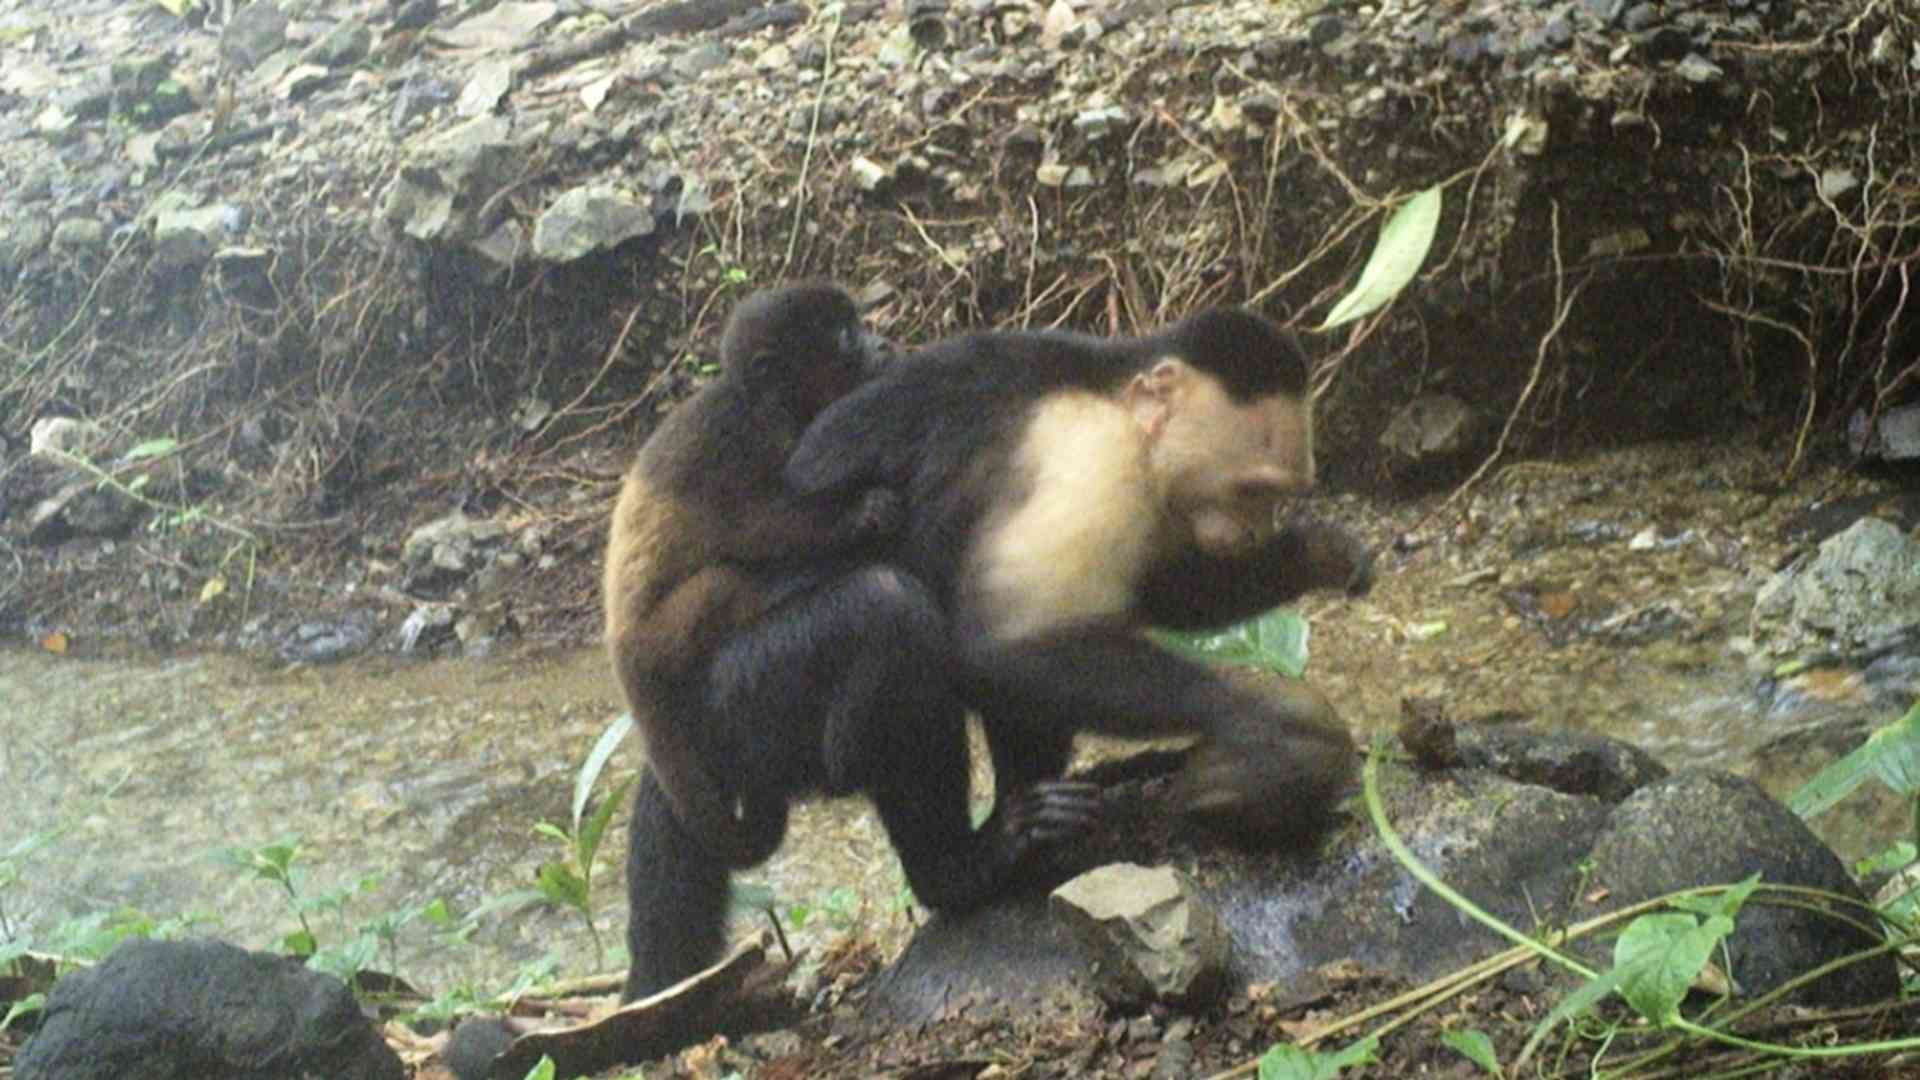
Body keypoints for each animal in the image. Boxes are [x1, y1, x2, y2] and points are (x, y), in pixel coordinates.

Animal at [608, 283, 1103, 1002]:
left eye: (859, 325)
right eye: (844, 337)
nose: (879, 341)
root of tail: (626, 651)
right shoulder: (758, 442)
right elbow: (761, 521)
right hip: (709, 662)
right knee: (884, 606)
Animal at [785, 307, 1375, 845]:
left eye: (1280, 496)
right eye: (1253, 490)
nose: (1256, 533)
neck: (1118, 402)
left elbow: (1165, 594)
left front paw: (1320, 552)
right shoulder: (1093, 459)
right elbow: (1009, 645)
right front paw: (1266, 725)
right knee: (904, 621)